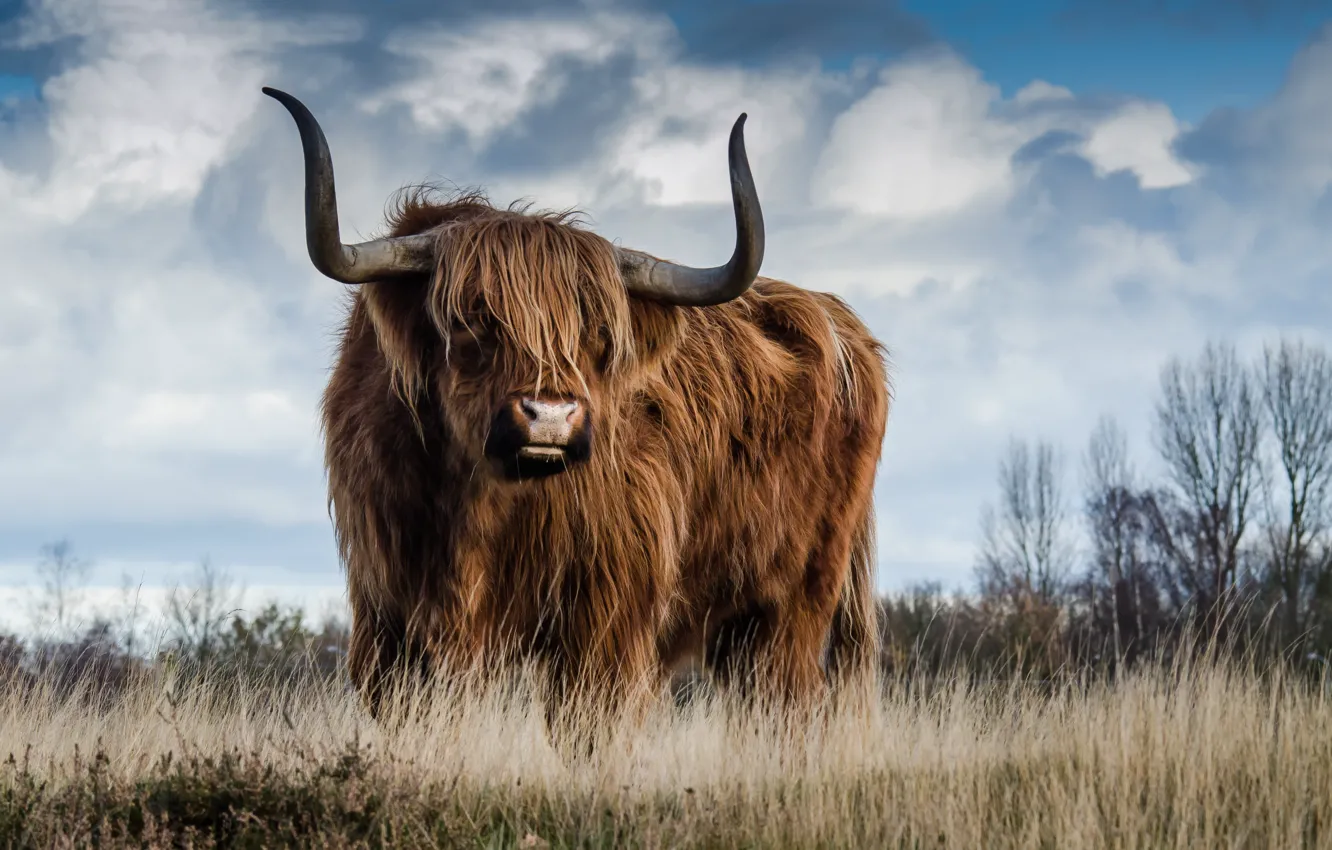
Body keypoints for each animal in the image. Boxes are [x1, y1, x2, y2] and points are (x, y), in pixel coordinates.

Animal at [262, 87, 890, 736]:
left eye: (597, 333)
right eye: (471, 319)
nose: (550, 415)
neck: (476, 507)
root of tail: (841, 322)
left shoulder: (606, 617)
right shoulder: (389, 615)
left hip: (795, 603)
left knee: (788, 704)